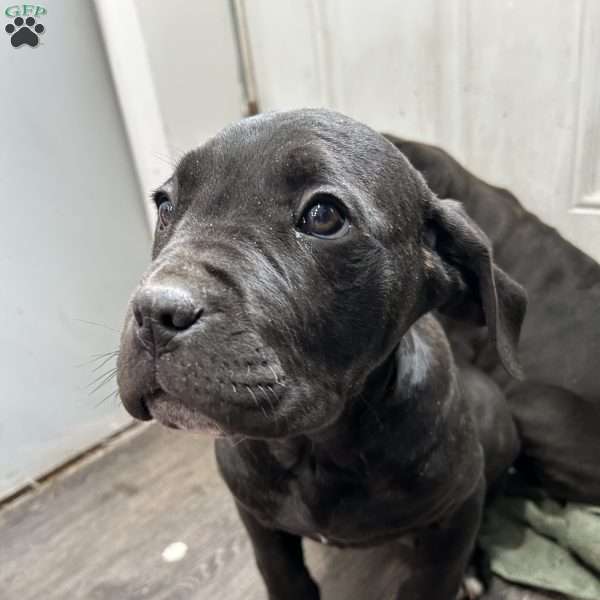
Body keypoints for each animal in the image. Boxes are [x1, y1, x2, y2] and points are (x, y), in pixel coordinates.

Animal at [117, 110, 524, 596]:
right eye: (165, 206)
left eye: (324, 215)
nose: (154, 312)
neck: (316, 449)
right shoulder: (257, 517)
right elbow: (281, 570)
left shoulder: (457, 510)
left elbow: (432, 579)